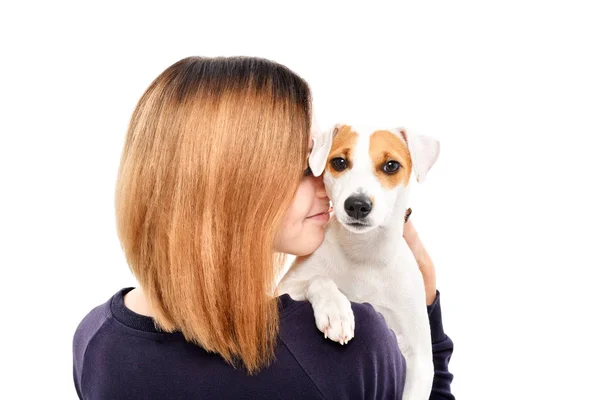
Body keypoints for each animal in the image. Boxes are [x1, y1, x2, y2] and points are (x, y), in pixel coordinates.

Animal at [278, 123, 440, 398]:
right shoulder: (283, 289)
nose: (357, 205)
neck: (365, 252)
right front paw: (335, 310)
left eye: (391, 166)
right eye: (339, 162)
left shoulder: (419, 359)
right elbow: (319, 278)